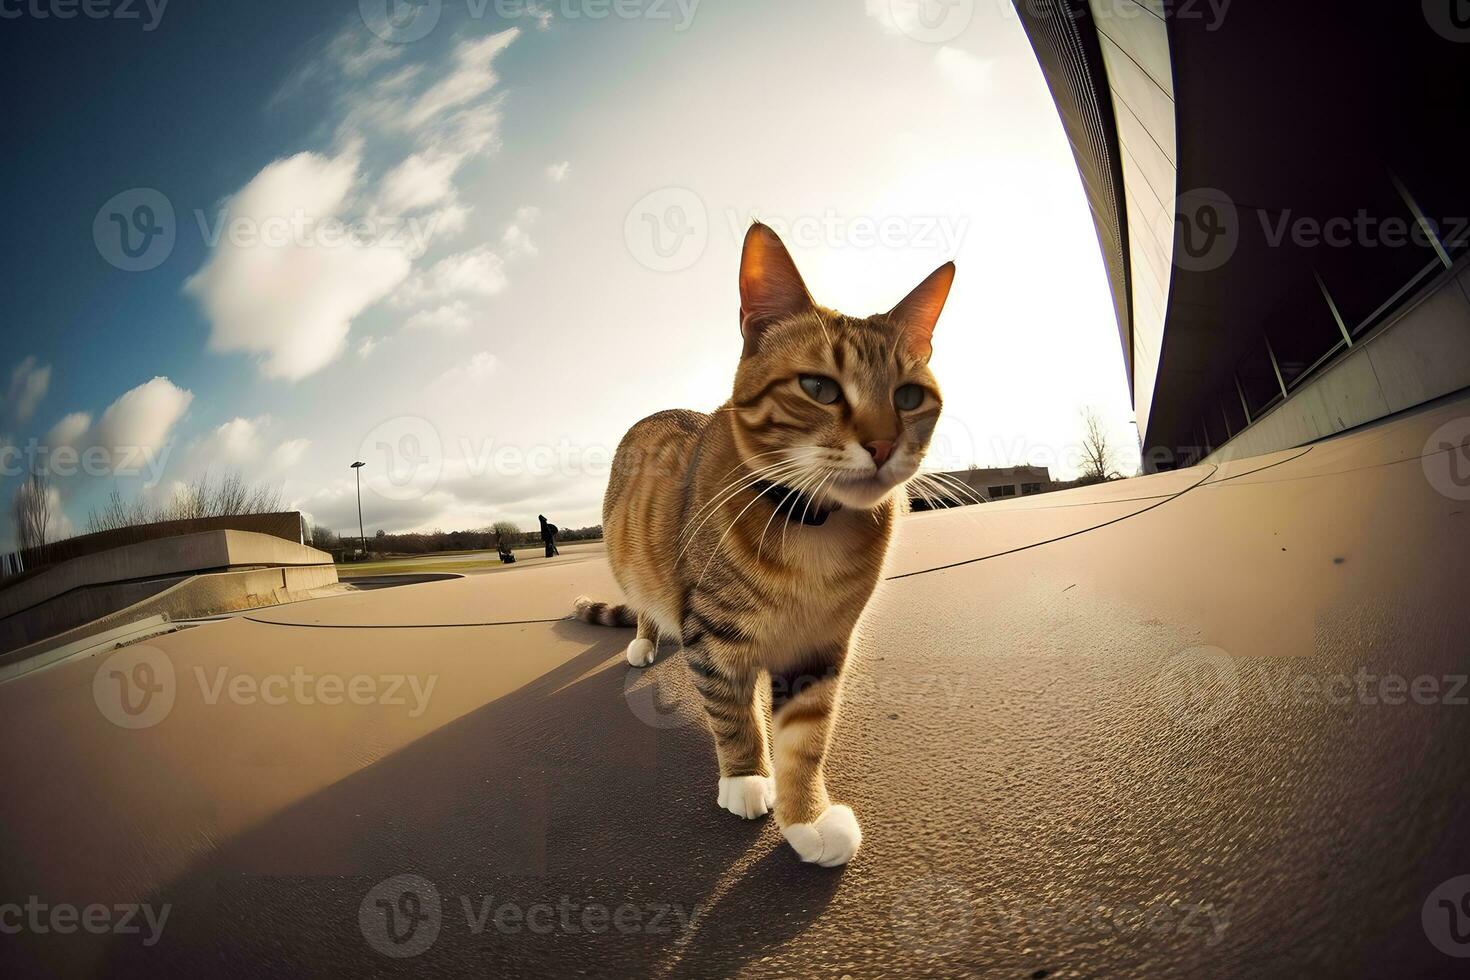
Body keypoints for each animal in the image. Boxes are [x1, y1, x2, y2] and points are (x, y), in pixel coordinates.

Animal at [573, 221, 952, 863]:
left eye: (907, 396)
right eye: (819, 387)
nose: (882, 445)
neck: (812, 529)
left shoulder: (822, 646)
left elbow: (805, 740)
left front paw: (807, 817)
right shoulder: (715, 633)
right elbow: (732, 715)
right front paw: (747, 776)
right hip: (631, 562)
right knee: (649, 605)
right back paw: (646, 639)